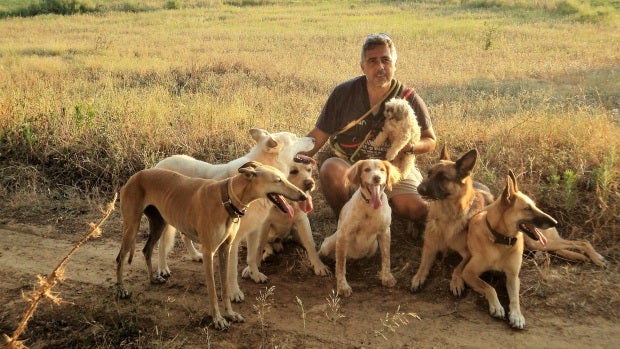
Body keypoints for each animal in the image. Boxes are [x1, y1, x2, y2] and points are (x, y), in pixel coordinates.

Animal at [114, 161, 308, 328]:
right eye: (278, 180)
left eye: (284, 177)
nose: (304, 195)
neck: (227, 199)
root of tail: (136, 176)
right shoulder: (208, 252)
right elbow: (213, 291)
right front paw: (218, 320)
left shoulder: (225, 248)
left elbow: (225, 287)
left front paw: (230, 314)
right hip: (132, 225)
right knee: (120, 257)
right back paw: (121, 290)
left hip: (158, 223)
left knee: (146, 250)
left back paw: (153, 278)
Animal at [151, 127, 314, 300]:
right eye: (294, 138)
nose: (314, 139)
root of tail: (158, 164)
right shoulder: (232, 240)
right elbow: (232, 270)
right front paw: (235, 293)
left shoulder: (255, 231)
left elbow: (252, 257)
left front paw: (255, 275)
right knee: (161, 244)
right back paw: (163, 268)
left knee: (183, 236)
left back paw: (195, 255)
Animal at [320, 158, 402, 296]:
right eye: (366, 169)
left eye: (382, 170)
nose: (377, 178)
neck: (370, 207)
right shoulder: (343, 235)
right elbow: (340, 265)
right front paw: (342, 286)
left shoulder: (385, 231)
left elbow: (386, 258)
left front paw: (386, 277)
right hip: (330, 243)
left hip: (373, 246)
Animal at [410, 145, 492, 294]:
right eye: (429, 173)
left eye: (443, 177)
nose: (418, 189)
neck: (447, 217)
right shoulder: (429, 246)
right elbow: (423, 264)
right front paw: (418, 277)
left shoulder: (468, 254)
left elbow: (458, 268)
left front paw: (456, 282)